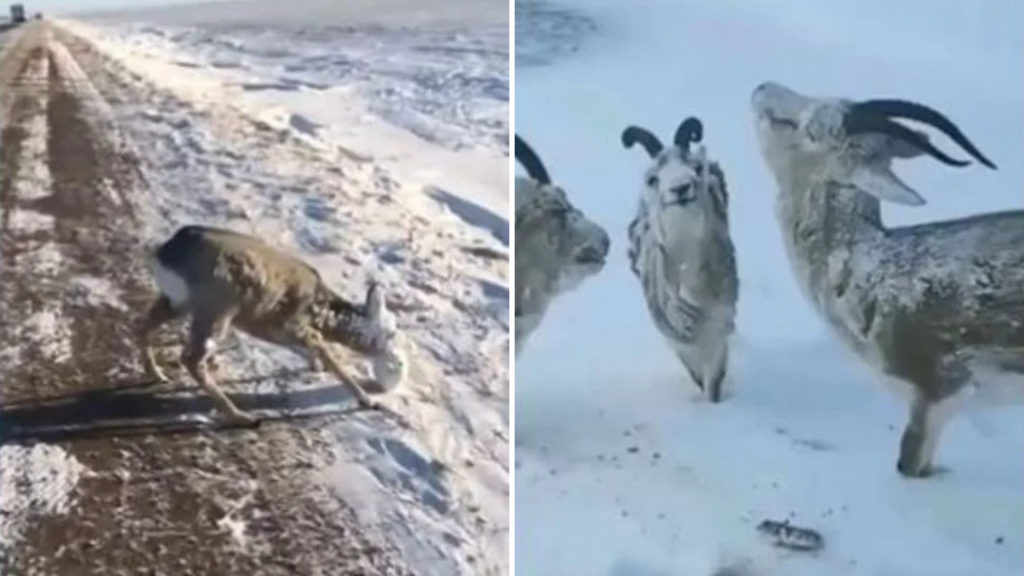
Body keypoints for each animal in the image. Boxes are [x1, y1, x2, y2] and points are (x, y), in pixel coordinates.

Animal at [139, 224, 407, 422]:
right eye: (392, 332)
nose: (398, 361)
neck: (323, 314)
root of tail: (167, 253)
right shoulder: (296, 326)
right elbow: (332, 359)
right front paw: (368, 401)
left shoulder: (274, 328)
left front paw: (315, 366)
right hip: (217, 309)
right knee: (191, 358)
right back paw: (241, 417)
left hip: (179, 302)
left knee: (143, 322)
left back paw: (157, 374)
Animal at [618, 117, 741, 401]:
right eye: (653, 178)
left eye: (694, 167)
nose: (681, 187)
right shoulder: (680, 341)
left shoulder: (718, 330)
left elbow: (713, 382)